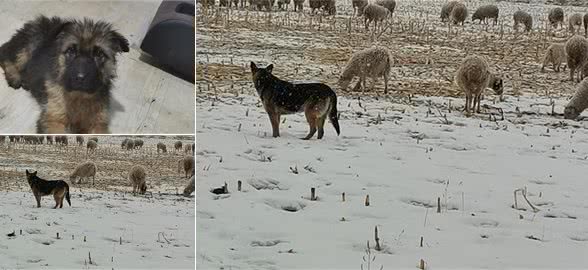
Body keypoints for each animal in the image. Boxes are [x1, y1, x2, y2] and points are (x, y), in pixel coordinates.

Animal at [0, 15, 130, 133]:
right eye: (71, 51)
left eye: (99, 54)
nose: (80, 78)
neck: (80, 95)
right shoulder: (53, 120)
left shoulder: (98, 124)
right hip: (29, 47)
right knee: (5, 55)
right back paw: (15, 77)